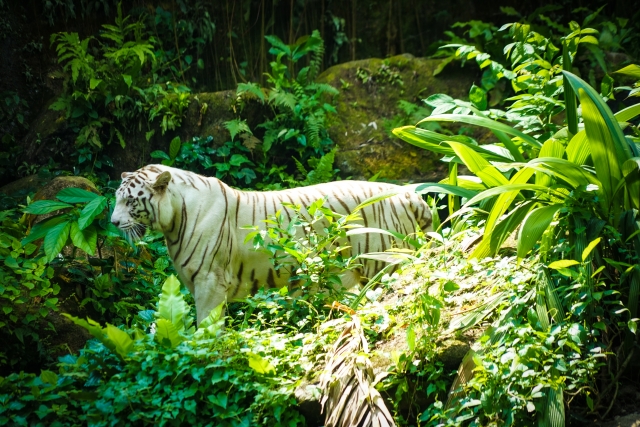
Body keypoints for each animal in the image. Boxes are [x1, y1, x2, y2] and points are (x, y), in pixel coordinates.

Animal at [110, 165, 432, 324]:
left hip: (385, 265)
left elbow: (207, 325)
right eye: (116, 198)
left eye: (130, 201)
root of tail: (409, 194)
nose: (112, 222)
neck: (175, 218)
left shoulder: (209, 283)